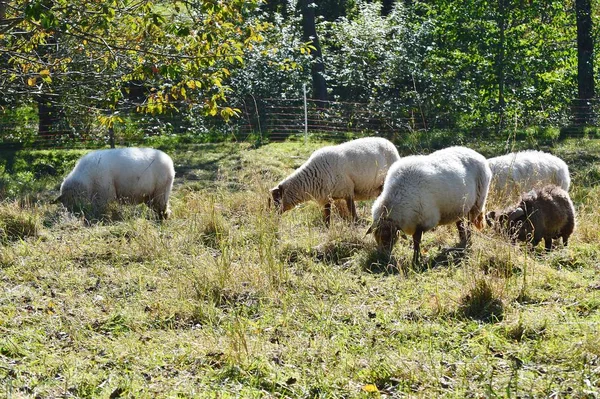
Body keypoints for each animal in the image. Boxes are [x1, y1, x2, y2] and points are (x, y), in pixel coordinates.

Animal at [270, 138, 400, 227]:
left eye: (276, 200)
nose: (273, 218)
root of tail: (389, 143)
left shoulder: (348, 190)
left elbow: (352, 212)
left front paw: (355, 224)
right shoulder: (326, 197)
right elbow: (327, 216)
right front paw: (327, 228)